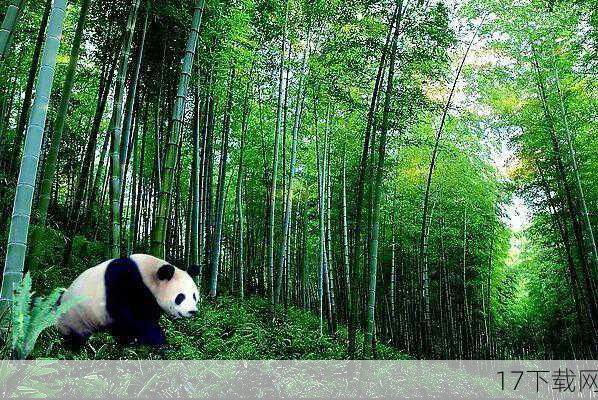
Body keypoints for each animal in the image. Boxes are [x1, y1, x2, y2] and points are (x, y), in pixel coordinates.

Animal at [56, 255, 202, 346]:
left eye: (194, 296)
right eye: (180, 297)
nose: (192, 311)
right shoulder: (123, 283)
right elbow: (130, 317)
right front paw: (158, 340)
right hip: (74, 318)